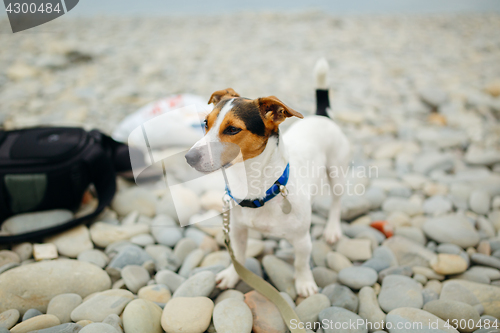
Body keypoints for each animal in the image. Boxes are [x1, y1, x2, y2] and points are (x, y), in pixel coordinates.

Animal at [185, 59, 352, 296]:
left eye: (233, 129)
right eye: (205, 124)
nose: (188, 157)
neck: (255, 185)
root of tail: (321, 116)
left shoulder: (302, 240)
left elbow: (301, 263)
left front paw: (304, 283)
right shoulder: (237, 231)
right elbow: (239, 256)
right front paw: (232, 275)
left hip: (337, 173)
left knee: (336, 203)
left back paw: (332, 229)